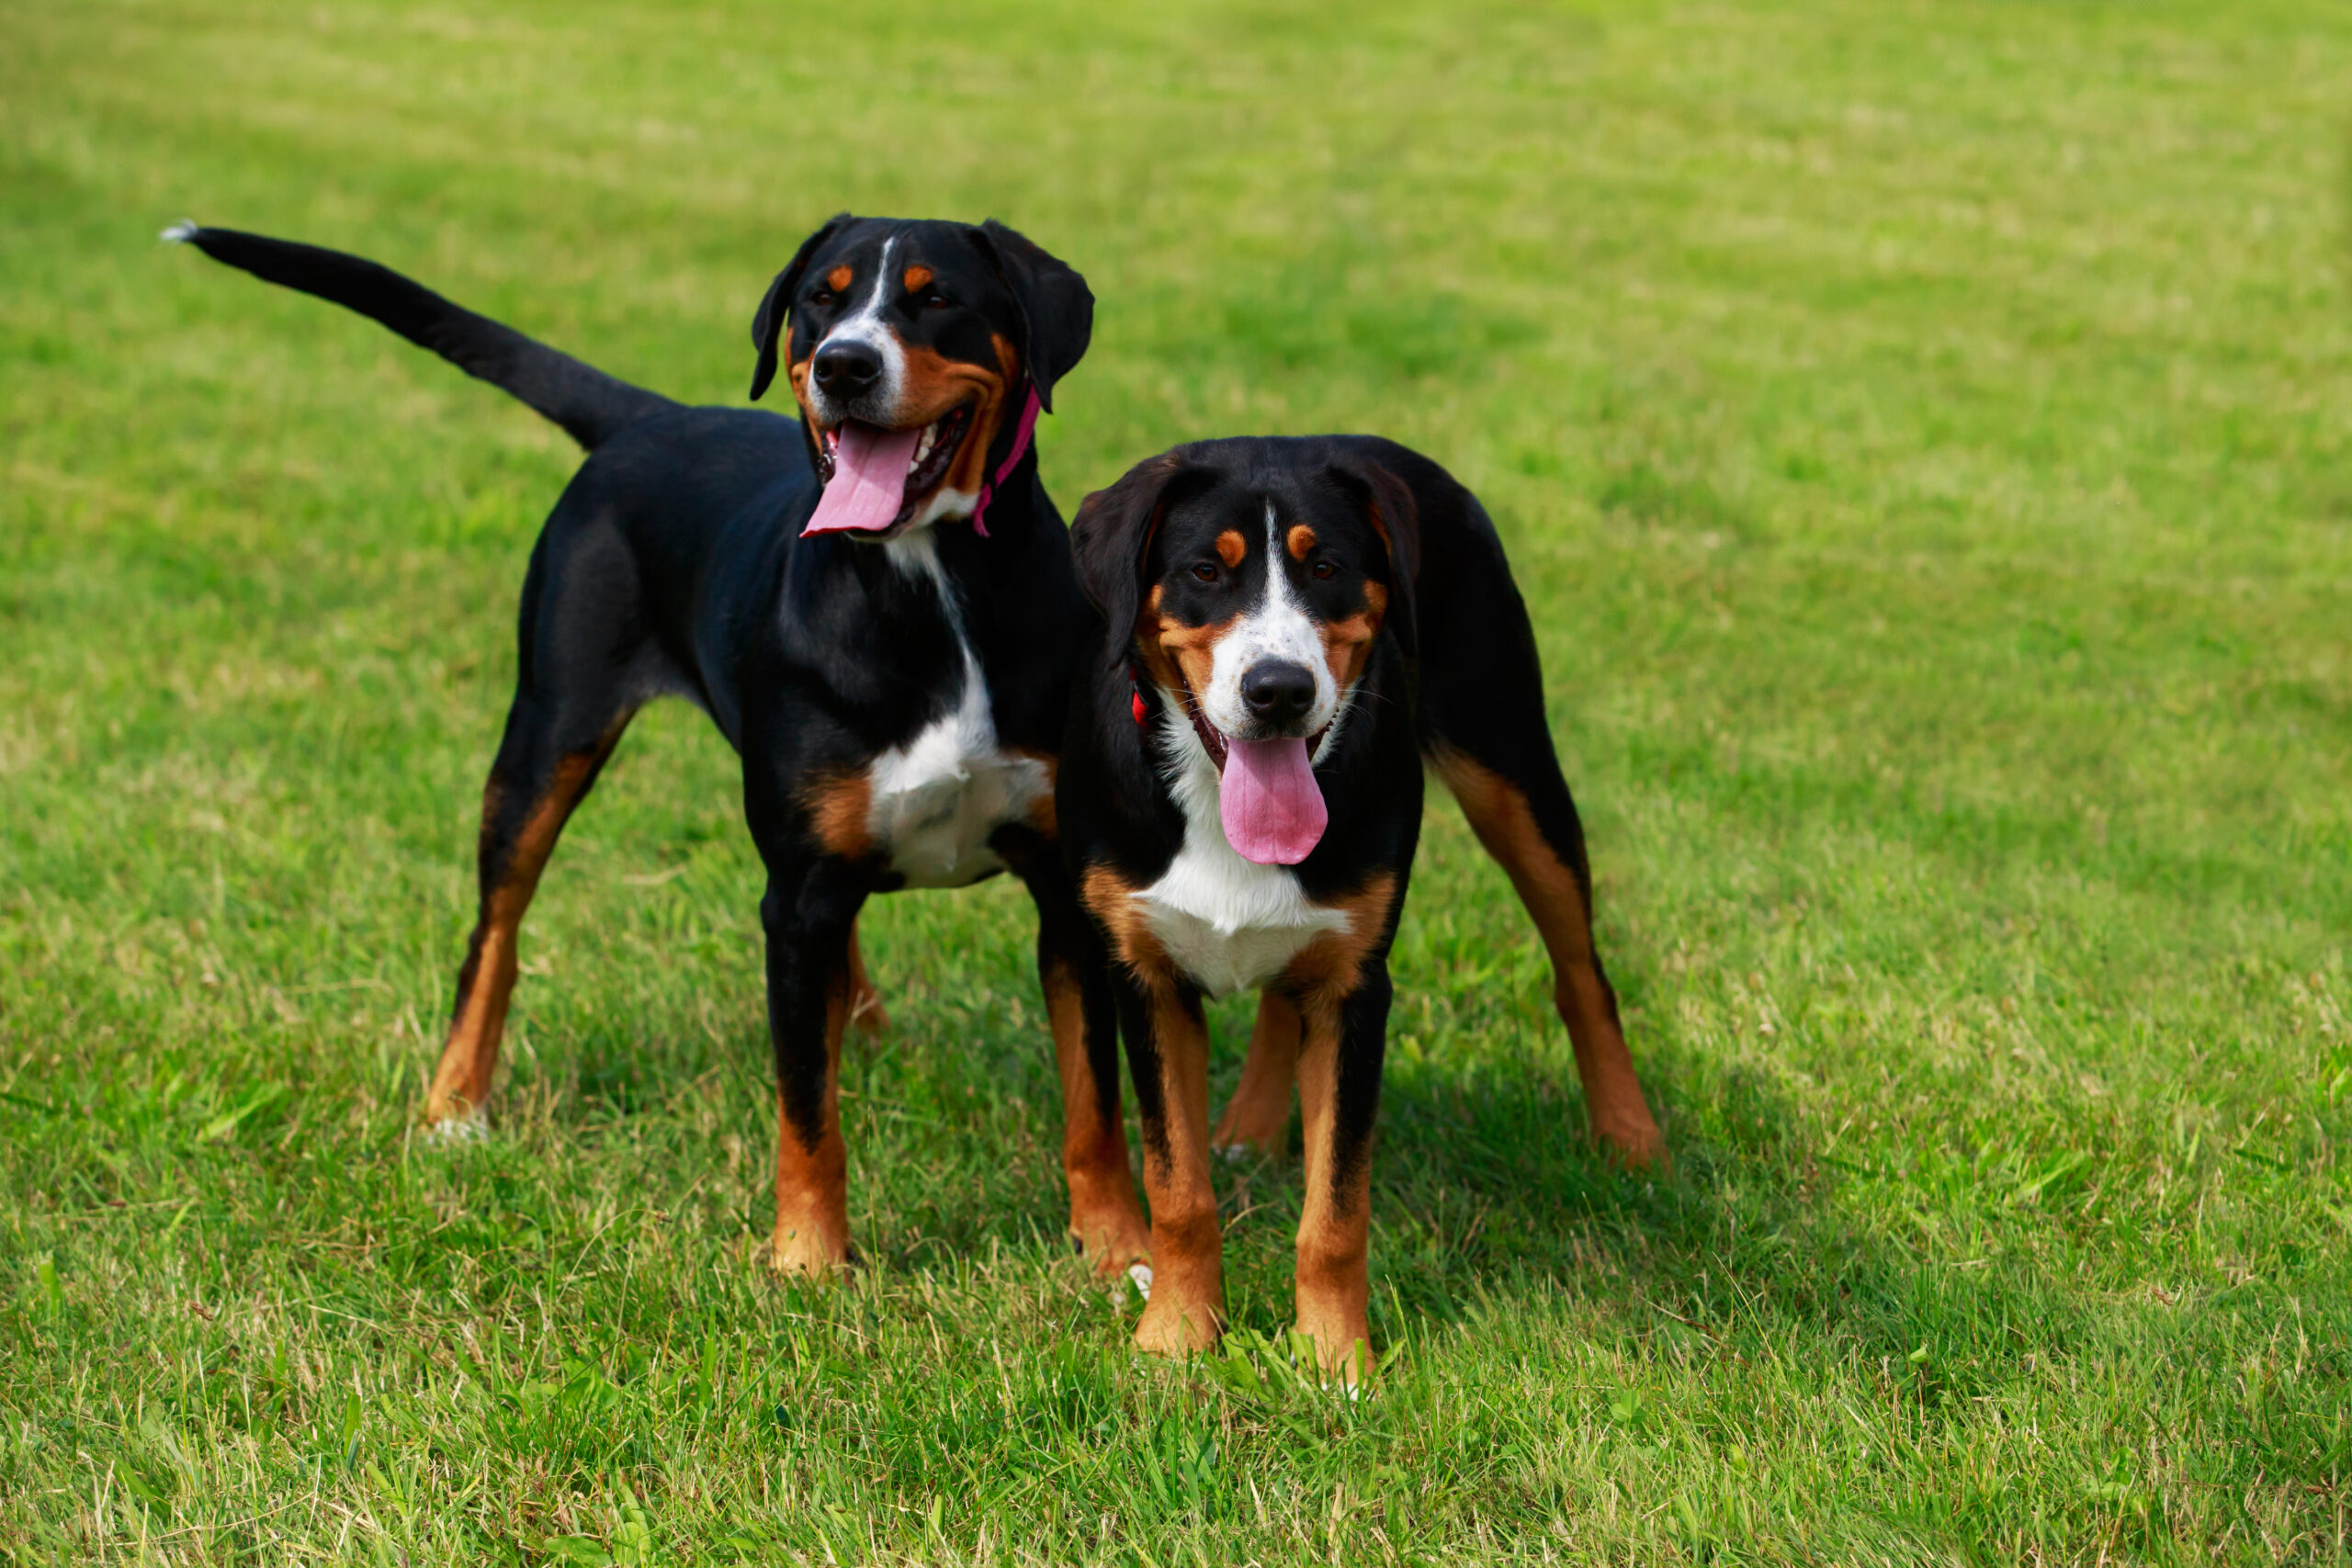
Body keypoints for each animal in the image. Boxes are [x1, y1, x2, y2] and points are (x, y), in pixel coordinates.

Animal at [165, 211, 1157, 1279]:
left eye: (937, 298)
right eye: (822, 300)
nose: (843, 366)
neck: (929, 588)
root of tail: (650, 418)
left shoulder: (1059, 884)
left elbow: (1094, 1101)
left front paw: (1117, 1249)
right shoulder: (799, 893)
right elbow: (806, 1109)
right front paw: (808, 1261)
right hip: (547, 736)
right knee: (494, 937)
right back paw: (454, 1108)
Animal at [1058, 434, 1665, 1382]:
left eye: (1327, 568)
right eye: (1205, 570)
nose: (1279, 689)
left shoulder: (1357, 990)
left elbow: (1336, 1209)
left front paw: (1333, 1358)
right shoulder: (1143, 976)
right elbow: (1177, 1186)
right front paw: (1178, 1338)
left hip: (1513, 770)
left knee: (1581, 973)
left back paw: (1631, 1134)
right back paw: (1252, 1125)